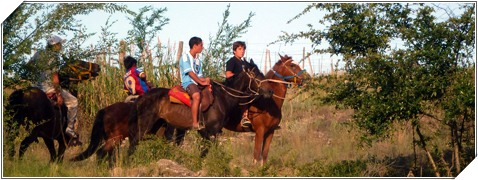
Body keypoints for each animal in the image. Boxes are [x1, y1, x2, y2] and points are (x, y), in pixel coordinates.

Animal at [128, 61, 272, 157]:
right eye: (255, 74)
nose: (269, 92)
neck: (223, 97)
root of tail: (141, 97)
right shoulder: (212, 131)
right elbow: (209, 152)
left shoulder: (209, 132)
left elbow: (204, 152)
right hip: (146, 124)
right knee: (134, 142)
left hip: (160, 126)